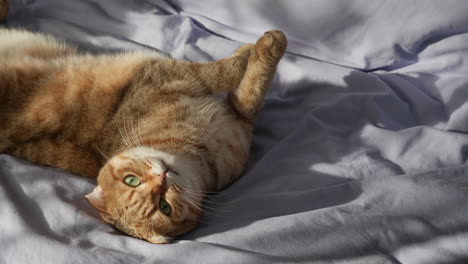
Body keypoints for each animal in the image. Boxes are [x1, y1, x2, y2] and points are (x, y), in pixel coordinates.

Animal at [0, 0, 286, 243]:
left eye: (131, 180)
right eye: (164, 206)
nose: (163, 178)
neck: (201, 152)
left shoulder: (231, 112)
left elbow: (238, 76)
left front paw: (249, 49)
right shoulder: (175, 76)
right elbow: (236, 73)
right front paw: (264, 46)